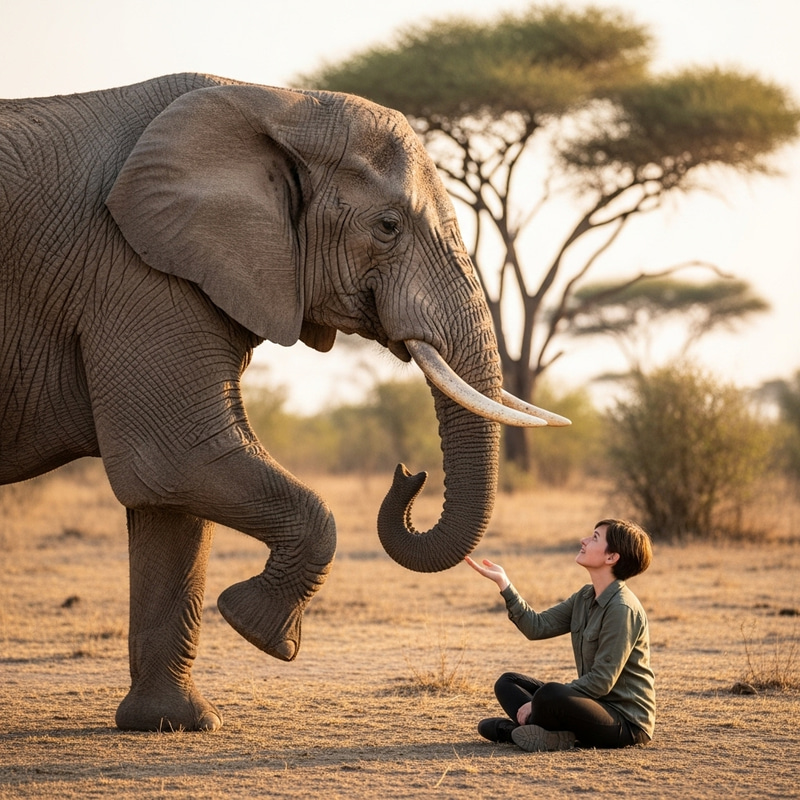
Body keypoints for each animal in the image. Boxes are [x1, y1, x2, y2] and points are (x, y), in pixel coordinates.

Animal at [0, 73, 568, 732]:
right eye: (387, 227)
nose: (408, 474)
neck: (274, 101)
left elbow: (169, 500)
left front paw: (172, 723)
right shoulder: (132, 270)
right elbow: (177, 460)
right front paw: (258, 631)